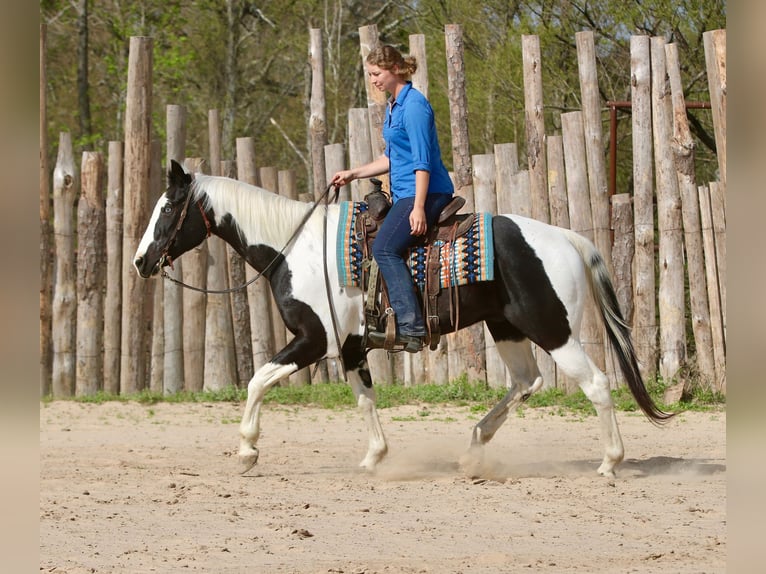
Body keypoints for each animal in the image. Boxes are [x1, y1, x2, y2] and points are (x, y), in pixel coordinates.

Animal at [134, 159, 673, 478]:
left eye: (168, 207)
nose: (140, 262)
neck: (294, 246)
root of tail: (566, 237)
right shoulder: (351, 347)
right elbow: (365, 399)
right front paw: (375, 456)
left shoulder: (314, 340)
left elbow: (257, 380)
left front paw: (247, 451)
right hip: (507, 327)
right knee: (527, 382)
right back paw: (472, 450)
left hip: (554, 329)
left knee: (596, 384)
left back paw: (610, 462)